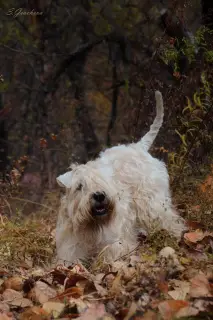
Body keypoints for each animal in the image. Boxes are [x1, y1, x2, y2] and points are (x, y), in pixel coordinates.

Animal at [56, 91, 185, 264]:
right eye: (79, 186)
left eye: (103, 181)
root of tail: (139, 147)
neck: (92, 226)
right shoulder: (72, 247)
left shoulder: (115, 242)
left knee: (168, 219)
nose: (99, 195)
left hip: (152, 202)